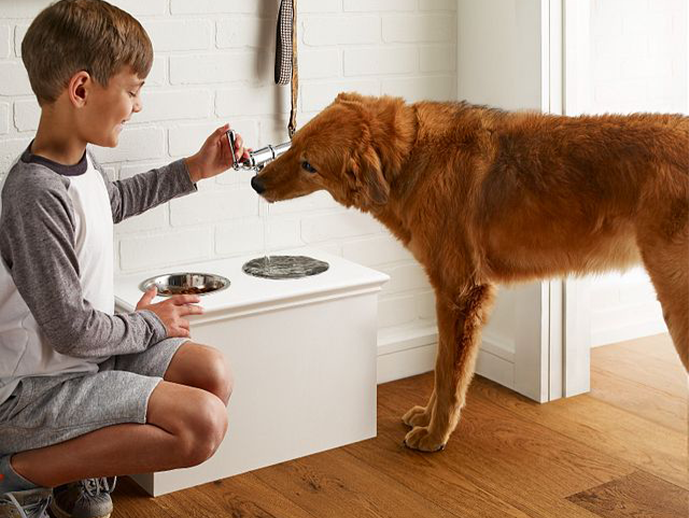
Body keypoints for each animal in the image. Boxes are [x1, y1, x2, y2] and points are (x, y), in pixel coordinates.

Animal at [250, 94, 688, 456]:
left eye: (309, 165)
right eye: (294, 144)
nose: (255, 181)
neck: (411, 156)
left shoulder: (459, 293)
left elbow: (449, 375)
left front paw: (434, 435)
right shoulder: (451, 297)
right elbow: (440, 368)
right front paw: (426, 420)